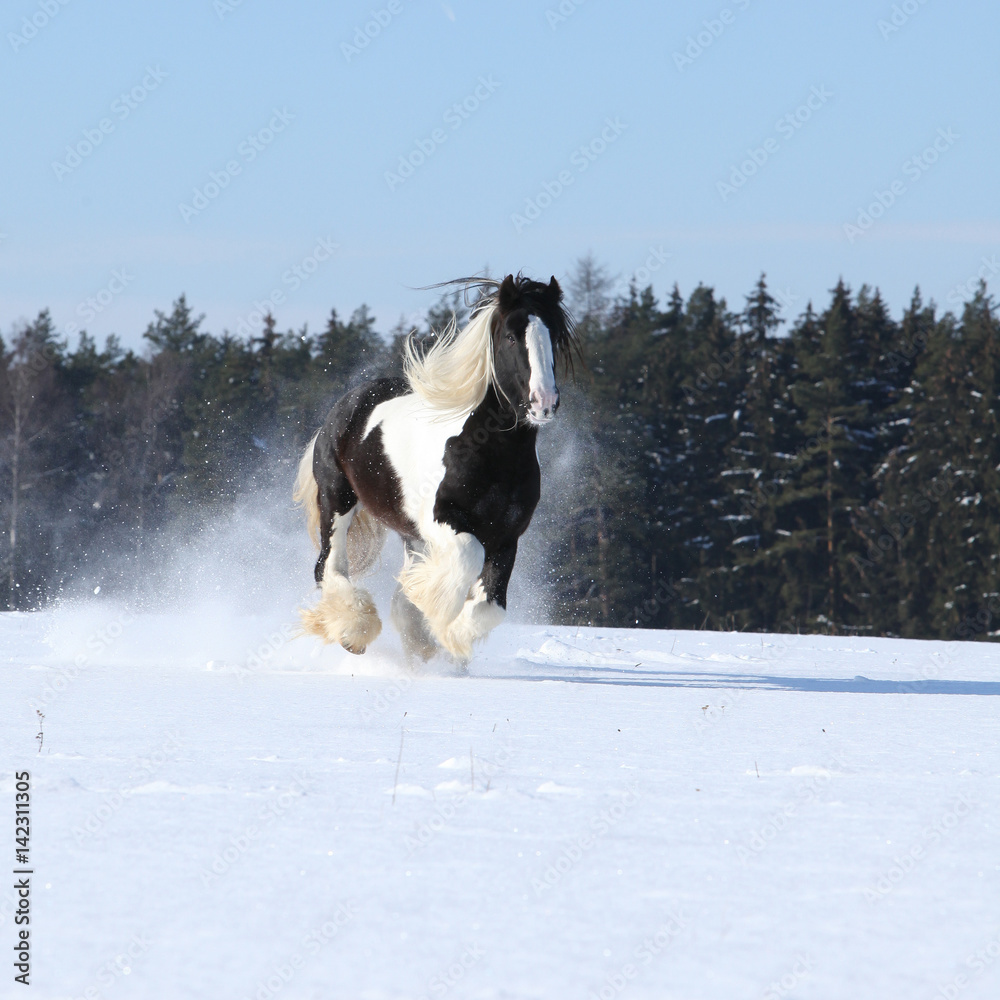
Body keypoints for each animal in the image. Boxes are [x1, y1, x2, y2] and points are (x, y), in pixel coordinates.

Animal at [292, 272, 578, 663]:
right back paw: (354, 632)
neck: (488, 452)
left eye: (556, 335)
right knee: (329, 566)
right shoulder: (442, 520)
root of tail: (343, 407)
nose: (544, 403)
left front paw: (448, 635)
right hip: (337, 501)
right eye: (510, 336)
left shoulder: (507, 536)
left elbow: (492, 606)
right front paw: (439, 617)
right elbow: (468, 557)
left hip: (410, 533)